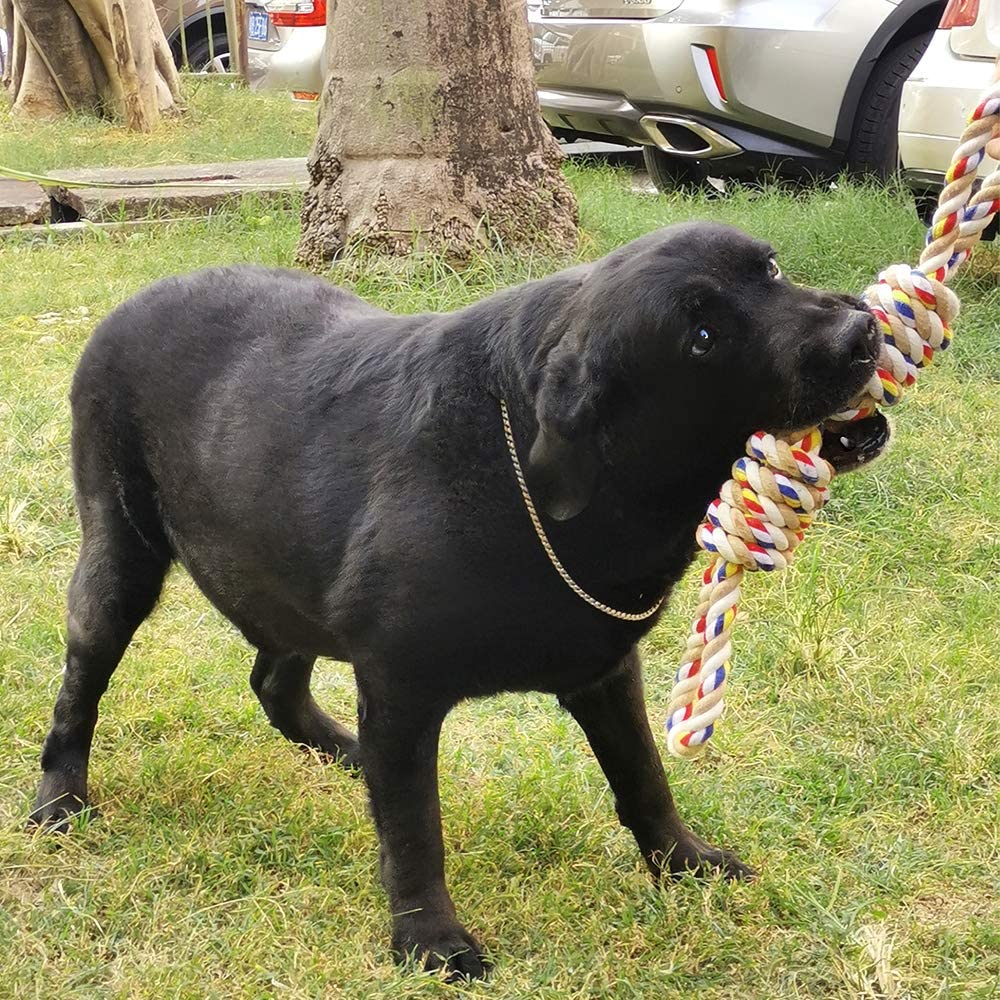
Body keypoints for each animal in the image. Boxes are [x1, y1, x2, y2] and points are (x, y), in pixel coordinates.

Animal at [31, 223, 888, 980]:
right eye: (702, 337)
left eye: (770, 270)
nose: (862, 332)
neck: (539, 482)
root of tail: (132, 301)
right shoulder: (402, 689)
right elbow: (416, 831)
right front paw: (428, 941)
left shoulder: (604, 673)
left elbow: (645, 779)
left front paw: (687, 864)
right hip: (119, 568)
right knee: (81, 692)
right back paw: (59, 800)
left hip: (282, 568)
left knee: (274, 681)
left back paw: (344, 751)